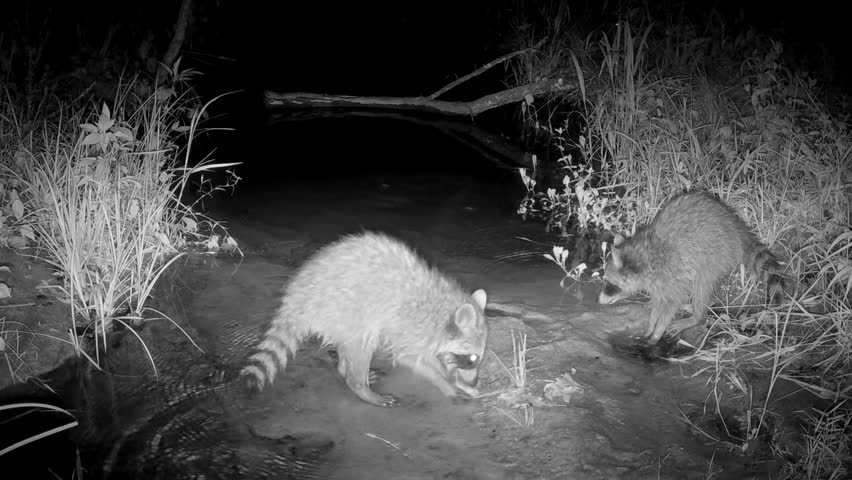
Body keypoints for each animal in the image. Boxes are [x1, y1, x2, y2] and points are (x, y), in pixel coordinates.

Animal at [240, 231, 488, 407]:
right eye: (472, 358)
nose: (474, 381)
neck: (441, 309)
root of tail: (296, 298)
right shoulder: (408, 325)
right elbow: (410, 357)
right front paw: (448, 383)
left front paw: (457, 380)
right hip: (343, 307)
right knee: (363, 342)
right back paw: (359, 384)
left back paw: (344, 367)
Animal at [599, 191, 787, 344]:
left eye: (609, 282)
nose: (599, 301)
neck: (643, 256)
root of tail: (738, 228)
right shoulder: (658, 282)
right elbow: (659, 302)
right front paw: (651, 324)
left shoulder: (671, 273)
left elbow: (672, 302)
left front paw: (657, 332)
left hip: (716, 254)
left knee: (701, 285)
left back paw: (696, 316)